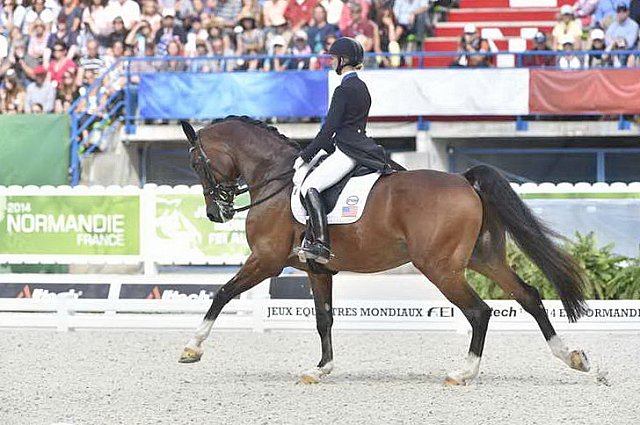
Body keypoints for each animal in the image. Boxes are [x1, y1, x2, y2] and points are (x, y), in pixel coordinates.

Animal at [178, 116, 592, 384]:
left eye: (197, 162)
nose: (216, 213)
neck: (277, 180)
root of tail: (463, 180)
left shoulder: (266, 260)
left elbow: (223, 293)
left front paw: (192, 349)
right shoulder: (316, 269)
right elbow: (324, 319)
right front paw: (320, 369)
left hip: (440, 267)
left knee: (479, 311)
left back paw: (463, 373)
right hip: (484, 258)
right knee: (529, 296)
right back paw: (573, 357)